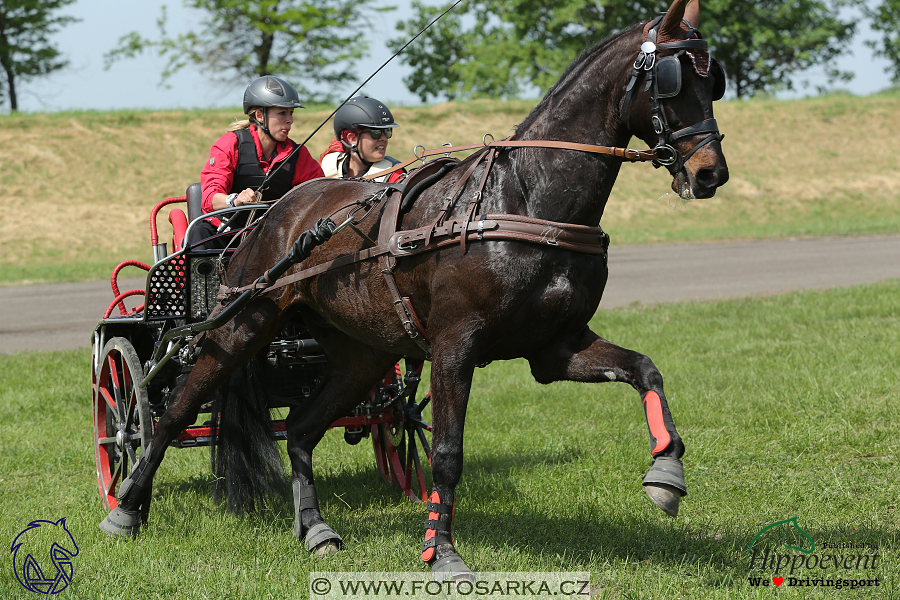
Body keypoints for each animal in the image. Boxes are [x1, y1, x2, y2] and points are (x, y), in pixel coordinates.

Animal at [100, 0, 732, 580]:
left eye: (714, 79)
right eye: (673, 80)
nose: (710, 173)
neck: (523, 198)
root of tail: (271, 214)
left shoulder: (555, 348)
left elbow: (645, 369)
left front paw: (666, 473)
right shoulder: (455, 347)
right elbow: (449, 454)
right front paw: (442, 554)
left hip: (361, 353)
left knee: (301, 428)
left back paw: (316, 529)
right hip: (239, 326)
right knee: (172, 412)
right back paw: (126, 507)